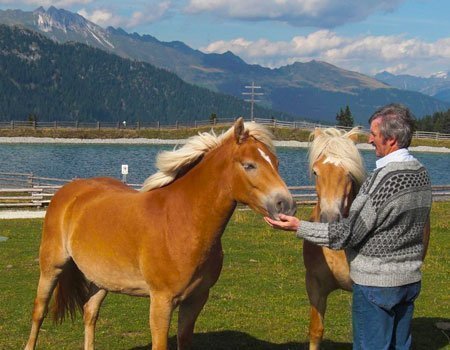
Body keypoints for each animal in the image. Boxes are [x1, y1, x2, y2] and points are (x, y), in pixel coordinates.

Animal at [26, 118, 298, 350]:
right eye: (249, 165)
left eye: (276, 163)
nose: (286, 205)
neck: (181, 222)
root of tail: (69, 191)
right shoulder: (161, 302)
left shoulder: (196, 299)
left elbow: (184, 340)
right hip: (52, 267)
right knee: (39, 311)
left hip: (100, 278)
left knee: (90, 312)